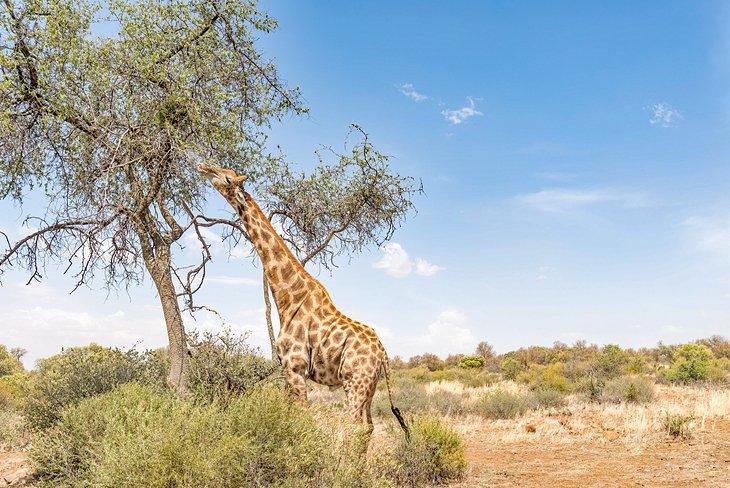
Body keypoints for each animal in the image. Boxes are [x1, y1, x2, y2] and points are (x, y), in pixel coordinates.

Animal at [198, 163, 409, 441]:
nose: (203, 166)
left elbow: (302, 420)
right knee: (368, 428)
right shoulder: (287, 370)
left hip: (355, 382)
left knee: (355, 427)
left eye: (227, 178)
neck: (287, 299)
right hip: (369, 387)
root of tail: (383, 353)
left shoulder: (295, 368)